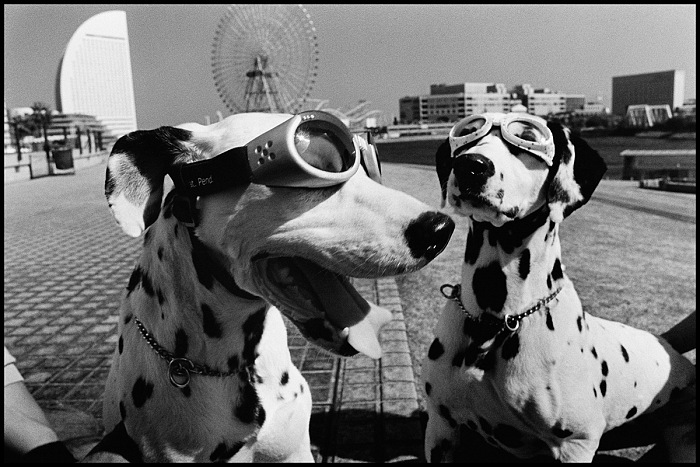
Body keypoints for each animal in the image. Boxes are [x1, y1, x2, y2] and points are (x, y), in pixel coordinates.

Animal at [422, 111, 696, 462]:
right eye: (468, 133)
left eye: (526, 137)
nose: (470, 165)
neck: (497, 319)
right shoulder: (441, 427)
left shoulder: (575, 444)